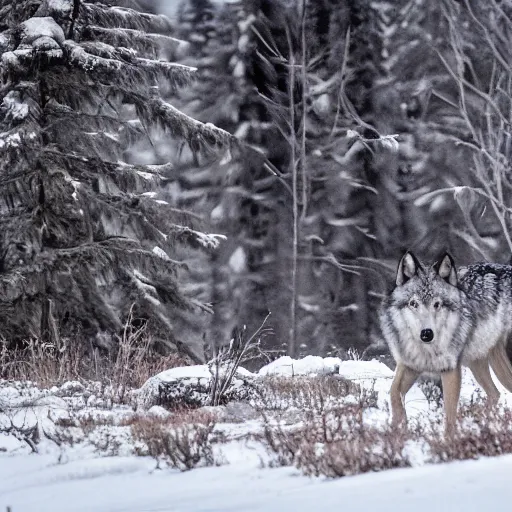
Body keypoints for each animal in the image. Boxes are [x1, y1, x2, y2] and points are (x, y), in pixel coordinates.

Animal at [380, 252, 512, 436]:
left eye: (437, 304)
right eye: (413, 303)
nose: (426, 333)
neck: (427, 350)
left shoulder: (450, 369)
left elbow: (449, 414)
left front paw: (449, 440)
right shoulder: (409, 365)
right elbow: (393, 393)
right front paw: (398, 429)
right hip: (479, 364)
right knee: (495, 393)